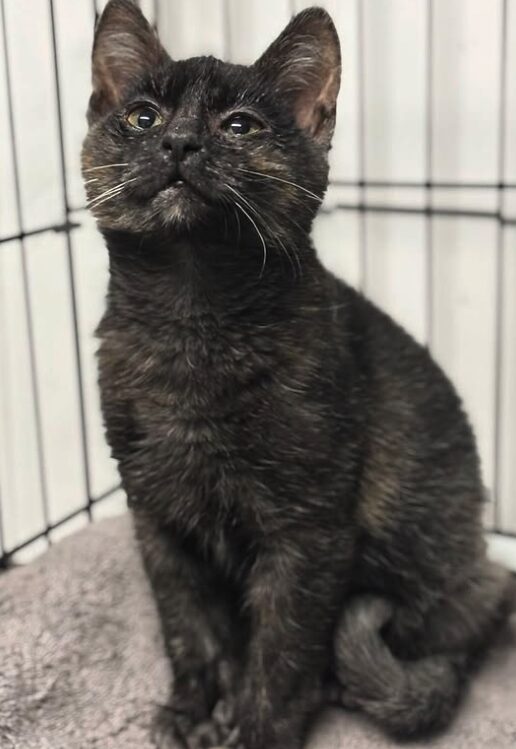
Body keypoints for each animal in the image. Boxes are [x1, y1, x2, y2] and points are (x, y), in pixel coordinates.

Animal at [83, 1, 512, 748]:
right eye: (142, 116)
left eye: (240, 126)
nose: (179, 142)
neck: (190, 321)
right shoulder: (155, 516)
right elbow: (187, 627)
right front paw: (195, 710)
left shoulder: (307, 530)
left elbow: (282, 648)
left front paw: (255, 728)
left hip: (440, 556)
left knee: (454, 637)